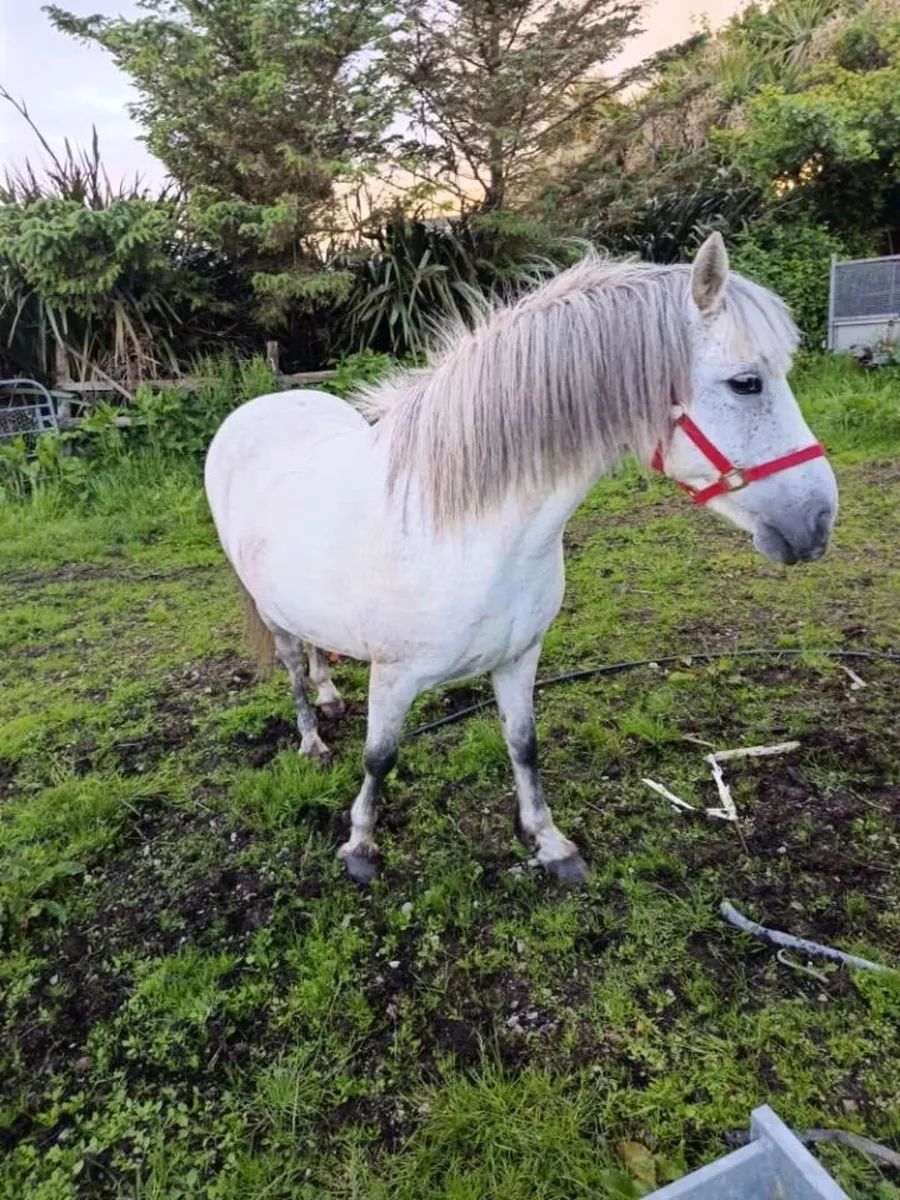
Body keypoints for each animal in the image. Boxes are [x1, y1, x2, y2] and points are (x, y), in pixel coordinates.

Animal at [204, 233, 838, 886]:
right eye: (746, 383)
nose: (818, 521)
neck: (468, 532)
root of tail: (260, 407)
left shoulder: (518, 658)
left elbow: (524, 745)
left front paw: (549, 842)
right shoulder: (395, 676)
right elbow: (379, 757)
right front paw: (360, 845)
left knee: (315, 650)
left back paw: (330, 695)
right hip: (269, 611)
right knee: (292, 667)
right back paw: (312, 739)